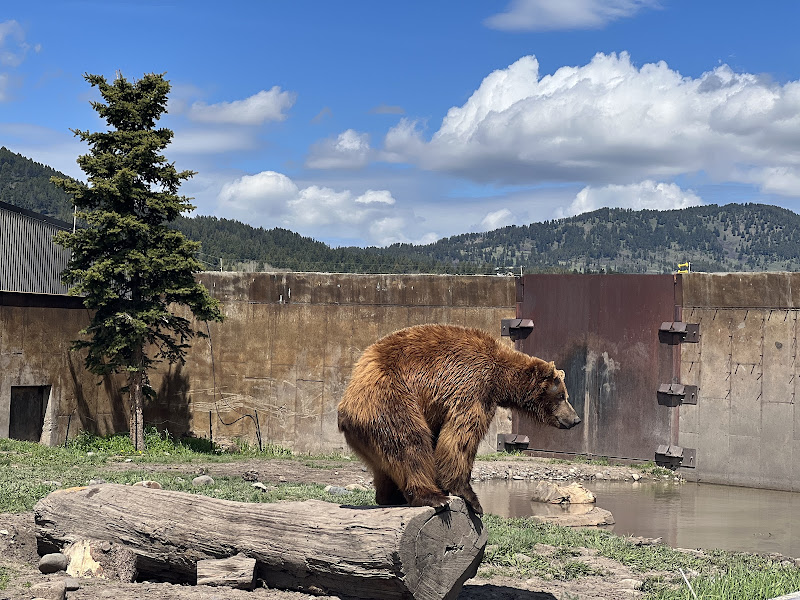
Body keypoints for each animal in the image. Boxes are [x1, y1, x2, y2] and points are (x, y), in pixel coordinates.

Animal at [337, 323, 581, 515]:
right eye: (562, 396)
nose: (576, 419)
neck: (500, 379)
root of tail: (346, 406)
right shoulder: (472, 385)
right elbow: (460, 438)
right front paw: (470, 496)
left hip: (368, 434)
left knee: (387, 461)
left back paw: (390, 496)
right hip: (389, 400)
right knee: (410, 443)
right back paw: (432, 496)